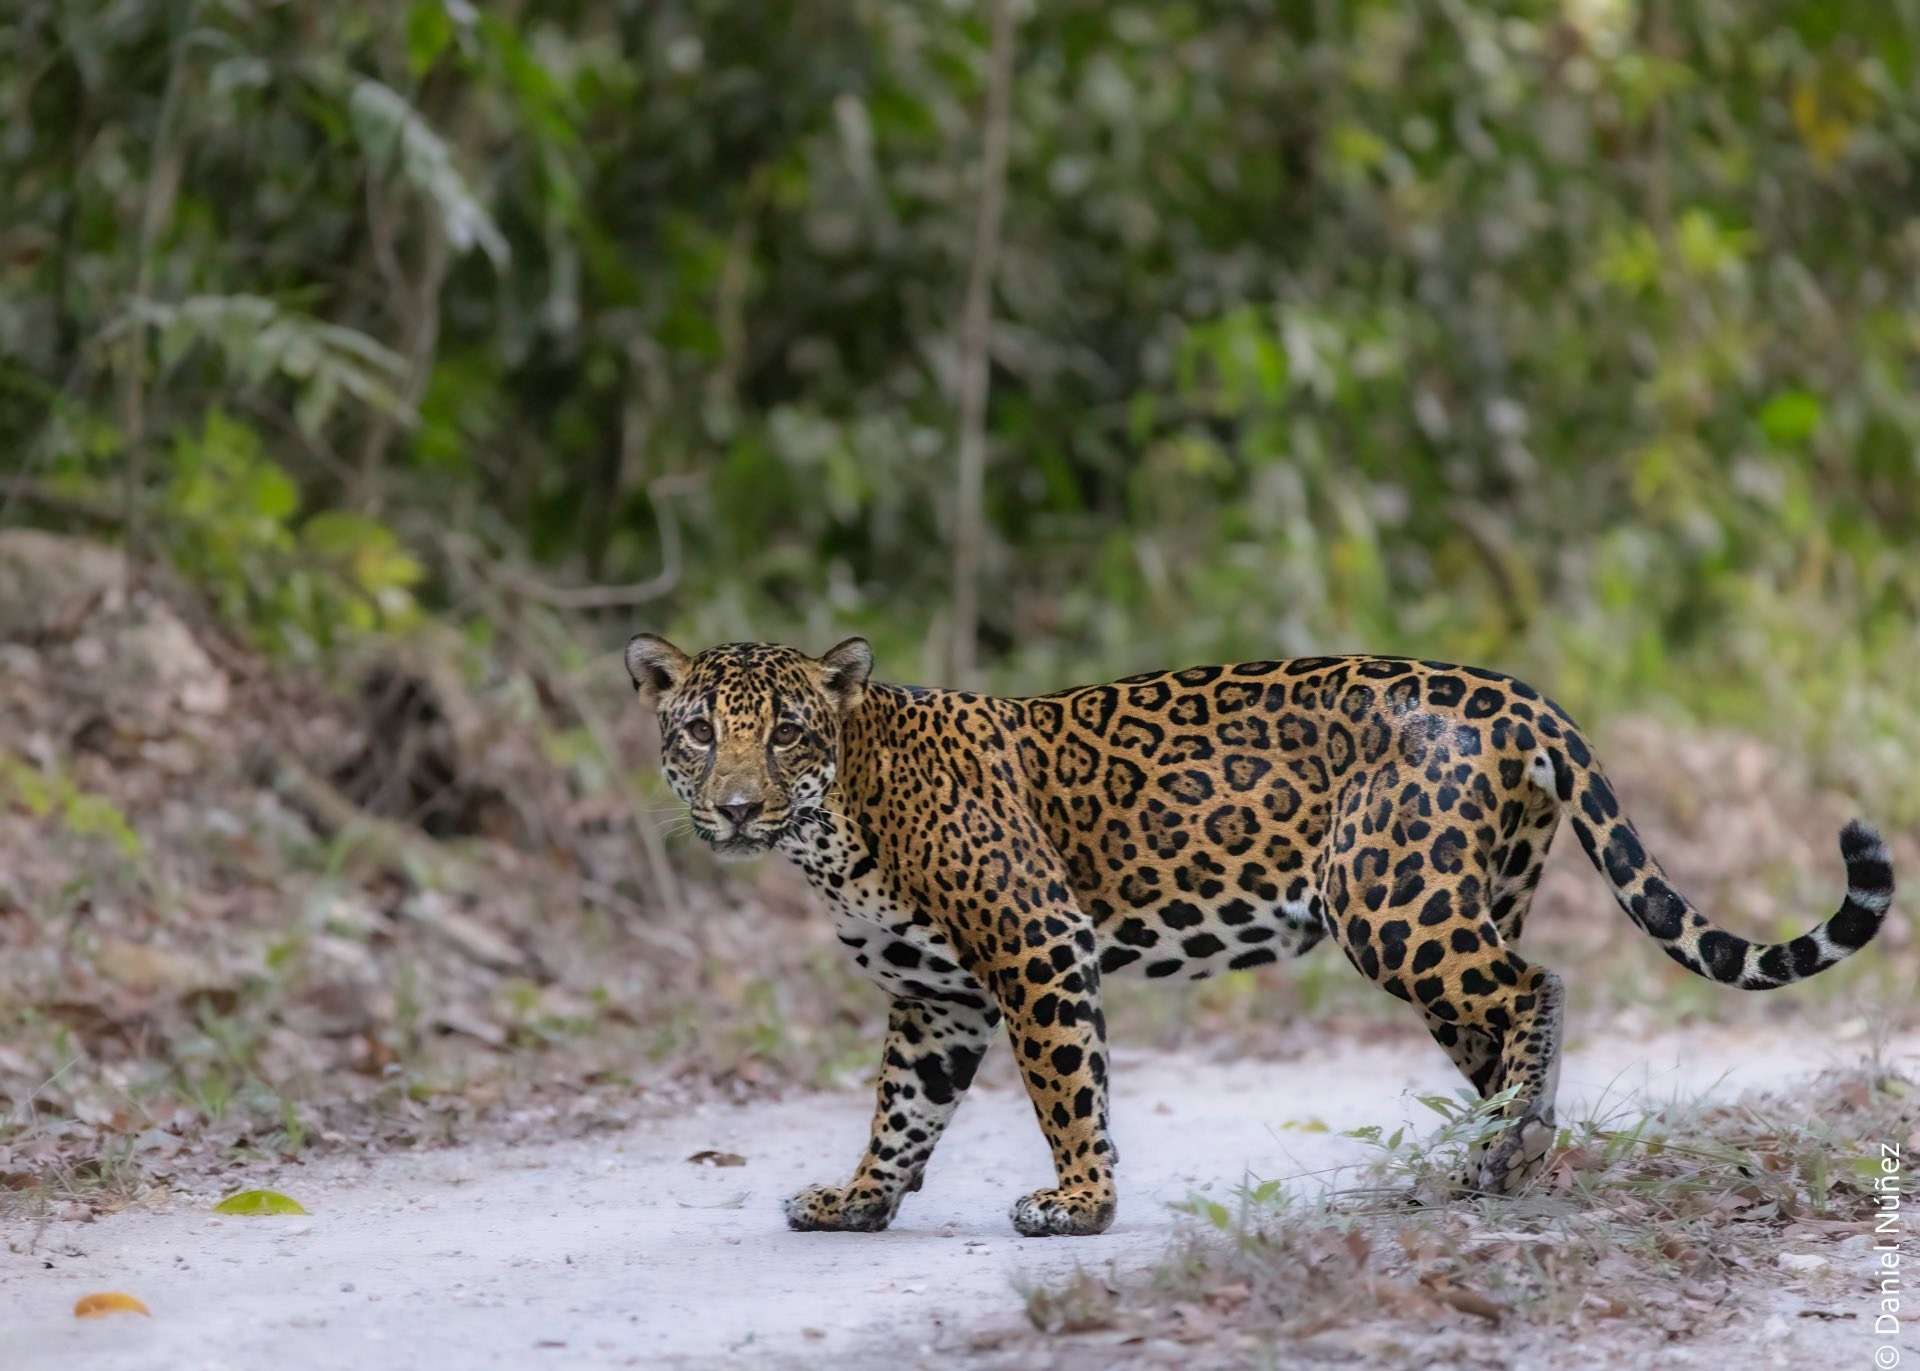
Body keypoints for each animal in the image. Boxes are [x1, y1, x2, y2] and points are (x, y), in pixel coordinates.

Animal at [624, 635, 1896, 1237]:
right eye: (698, 732)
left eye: (788, 733)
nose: (734, 806)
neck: (836, 822)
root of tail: (1515, 693)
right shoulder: (938, 997)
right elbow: (900, 1111)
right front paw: (857, 1203)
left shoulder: (1036, 944)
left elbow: (1066, 1089)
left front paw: (1080, 1204)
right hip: (1469, 899)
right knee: (1494, 1022)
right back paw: (1504, 1159)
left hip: (1393, 905)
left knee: (1536, 986)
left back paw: (1506, 1150)